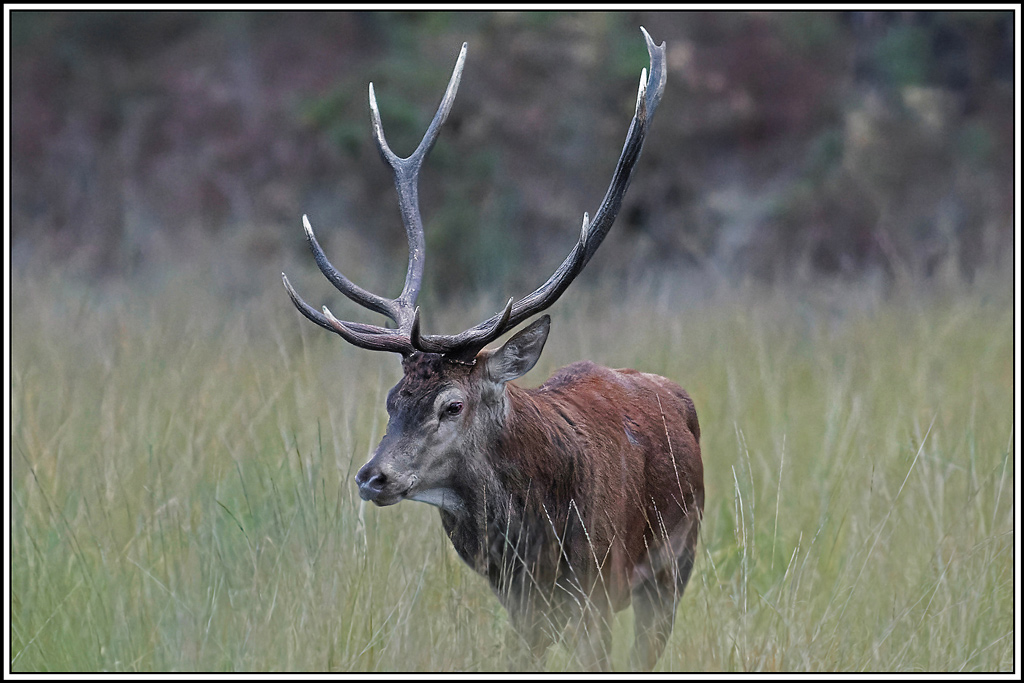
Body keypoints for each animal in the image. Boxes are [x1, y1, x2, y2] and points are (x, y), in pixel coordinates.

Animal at [282, 27, 703, 671]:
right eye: (391, 399)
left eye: (452, 404)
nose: (373, 477)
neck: (536, 539)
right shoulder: (521, 606)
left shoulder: (599, 588)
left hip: (672, 570)